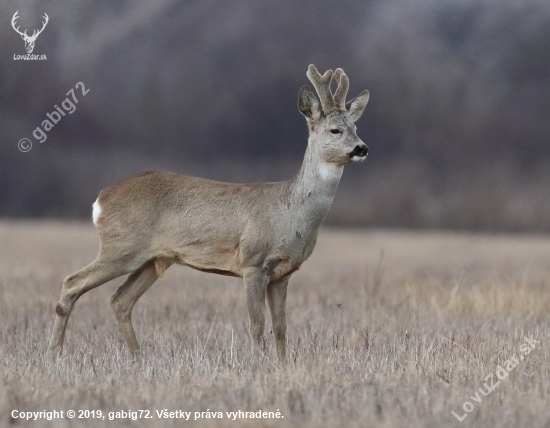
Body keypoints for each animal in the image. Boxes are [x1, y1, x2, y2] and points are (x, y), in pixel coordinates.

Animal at [45, 65, 368, 362]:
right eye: (335, 130)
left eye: (355, 128)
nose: (362, 148)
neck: (291, 212)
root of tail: (100, 199)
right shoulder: (253, 262)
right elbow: (257, 325)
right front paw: (258, 365)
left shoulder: (284, 272)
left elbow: (281, 327)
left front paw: (282, 366)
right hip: (121, 247)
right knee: (72, 283)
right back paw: (54, 354)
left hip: (153, 258)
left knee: (120, 300)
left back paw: (139, 357)